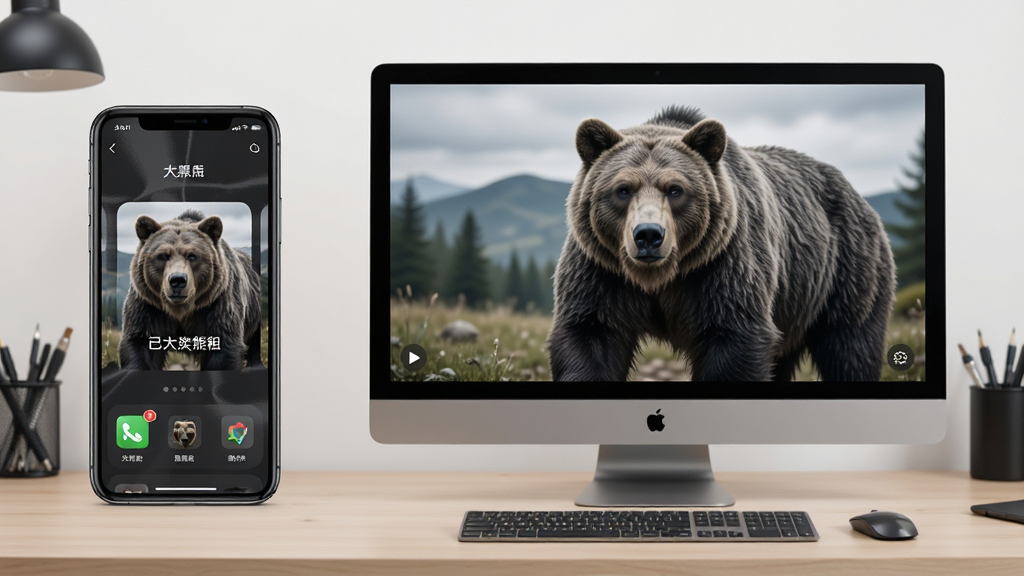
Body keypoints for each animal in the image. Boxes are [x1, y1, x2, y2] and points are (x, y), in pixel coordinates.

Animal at [118, 209, 262, 371]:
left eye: (192, 256)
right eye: (163, 256)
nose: (177, 280)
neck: (182, 310)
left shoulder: (217, 307)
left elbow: (223, 351)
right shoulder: (148, 307)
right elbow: (140, 345)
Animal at [548, 106, 895, 382]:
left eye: (675, 189)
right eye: (623, 189)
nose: (648, 235)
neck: (661, 279)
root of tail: (858, 197)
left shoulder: (722, 266)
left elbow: (735, 339)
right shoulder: (602, 270)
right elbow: (590, 335)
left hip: (845, 271)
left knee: (850, 348)